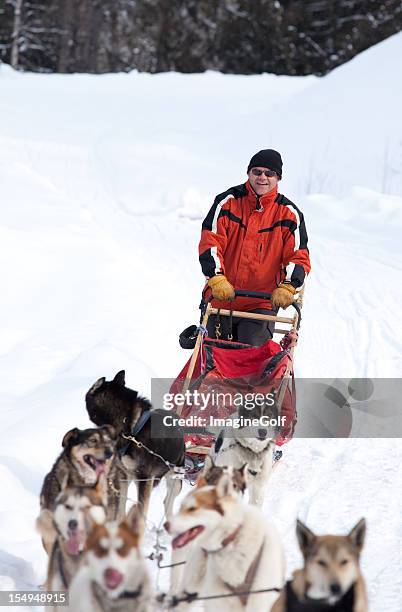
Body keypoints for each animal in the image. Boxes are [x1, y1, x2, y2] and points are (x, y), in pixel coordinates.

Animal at [86, 370, 185, 520]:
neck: (131, 430)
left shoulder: (145, 478)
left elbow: (141, 510)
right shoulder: (122, 474)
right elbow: (121, 506)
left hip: (176, 479)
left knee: (168, 500)